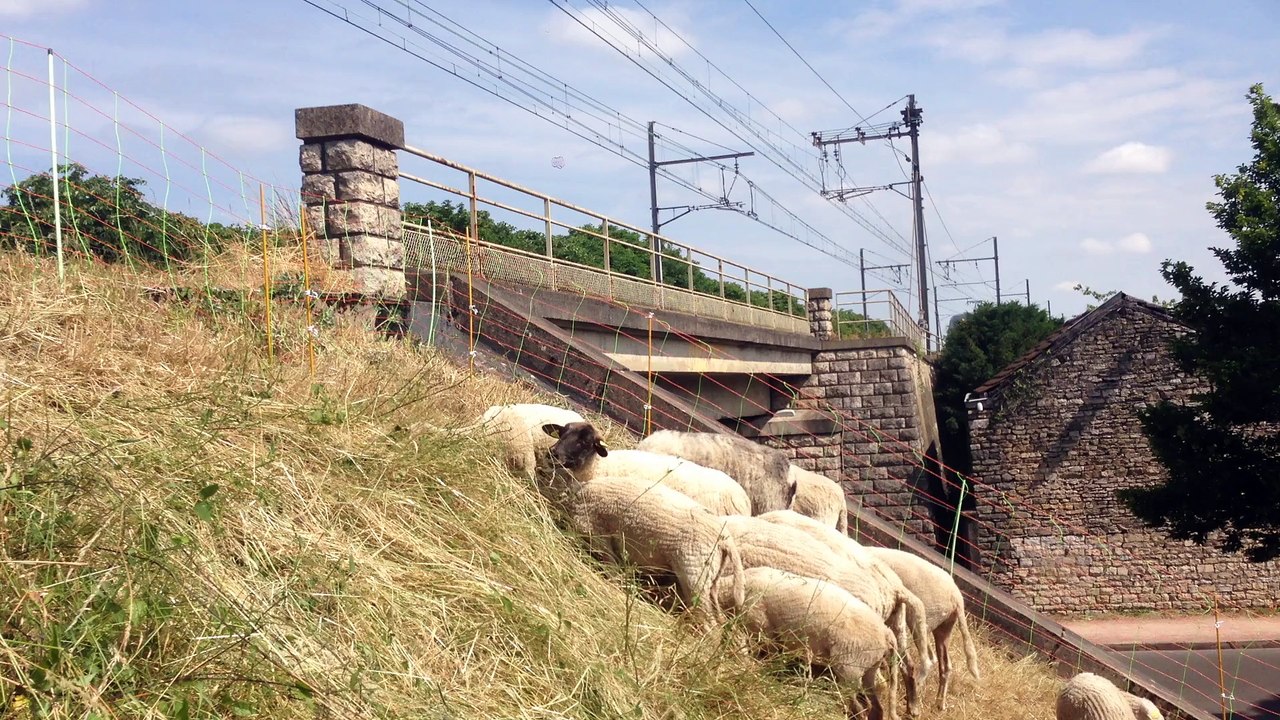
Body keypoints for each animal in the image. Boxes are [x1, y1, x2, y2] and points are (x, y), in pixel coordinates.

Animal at [559, 473, 745, 624]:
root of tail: (725, 539)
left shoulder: (597, 534)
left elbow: (611, 568)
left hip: (695, 574)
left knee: (711, 624)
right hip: (711, 578)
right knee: (719, 618)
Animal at [717, 567, 899, 720]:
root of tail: (886, 632)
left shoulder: (763, 629)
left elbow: (764, 657)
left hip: (851, 665)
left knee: (858, 706)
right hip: (870, 668)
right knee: (876, 707)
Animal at [861, 545, 981, 711]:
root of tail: (957, 597)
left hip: (921, 619)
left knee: (928, 660)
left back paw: (913, 691)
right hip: (943, 628)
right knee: (945, 665)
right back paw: (939, 703)